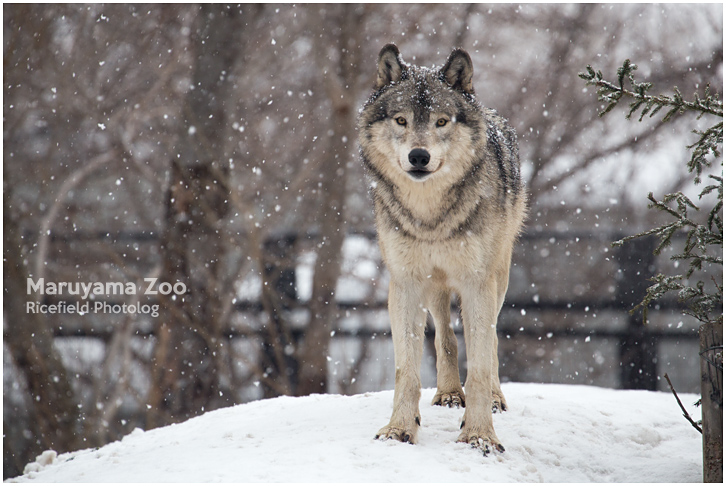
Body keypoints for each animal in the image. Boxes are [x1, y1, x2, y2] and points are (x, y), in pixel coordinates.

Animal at [360, 43, 528, 454]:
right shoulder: (405, 283)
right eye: (401, 120)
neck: (430, 216)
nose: (419, 156)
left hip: (498, 276)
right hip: (434, 286)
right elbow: (406, 369)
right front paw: (399, 429)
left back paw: (494, 398)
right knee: (446, 338)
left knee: (492, 340)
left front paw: (480, 435)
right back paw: (450, 393)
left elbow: (480, 365)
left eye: (441, 122)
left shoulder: (477, 282)